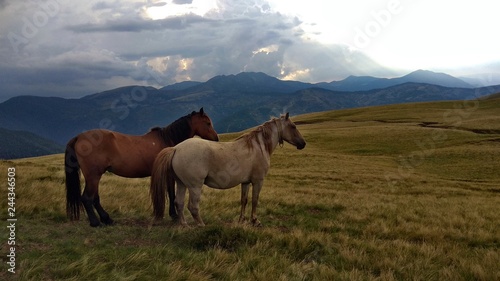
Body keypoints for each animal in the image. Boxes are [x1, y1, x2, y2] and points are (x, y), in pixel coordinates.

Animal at [64, 107, 217, 225]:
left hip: (94, 176)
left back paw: (107, 219)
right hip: (93, 176)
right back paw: (96, 222)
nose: (216, 138)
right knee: (87, 198)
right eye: (207, 123)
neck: (168, 140)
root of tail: (79, 137)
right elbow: (171, 193)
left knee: (95, 198)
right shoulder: (168, 175)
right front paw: (173, 215)